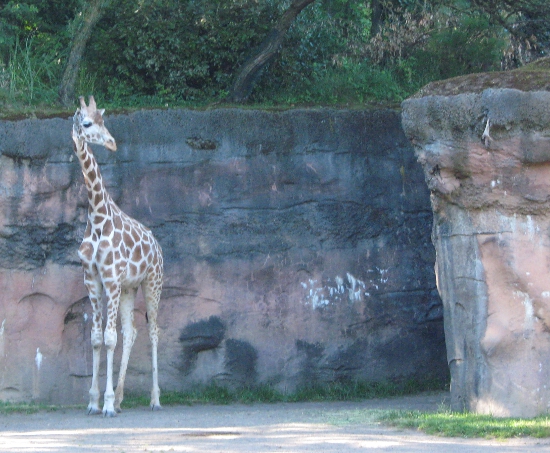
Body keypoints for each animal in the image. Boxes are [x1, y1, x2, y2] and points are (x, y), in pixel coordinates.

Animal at [70, 95, 164, 416]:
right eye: (87, 123)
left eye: (103, 120)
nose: (111, 143)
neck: (98, 216)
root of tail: (158, 246)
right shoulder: (93, 280)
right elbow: (97, 339)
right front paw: (93, 401)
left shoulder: (110, 279)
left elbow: (109, 338)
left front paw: (107, 404)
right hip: (129, 288)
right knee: (131, 331)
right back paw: (123, 397)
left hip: (152, 283)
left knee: (153, 331)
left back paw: (155, 399)